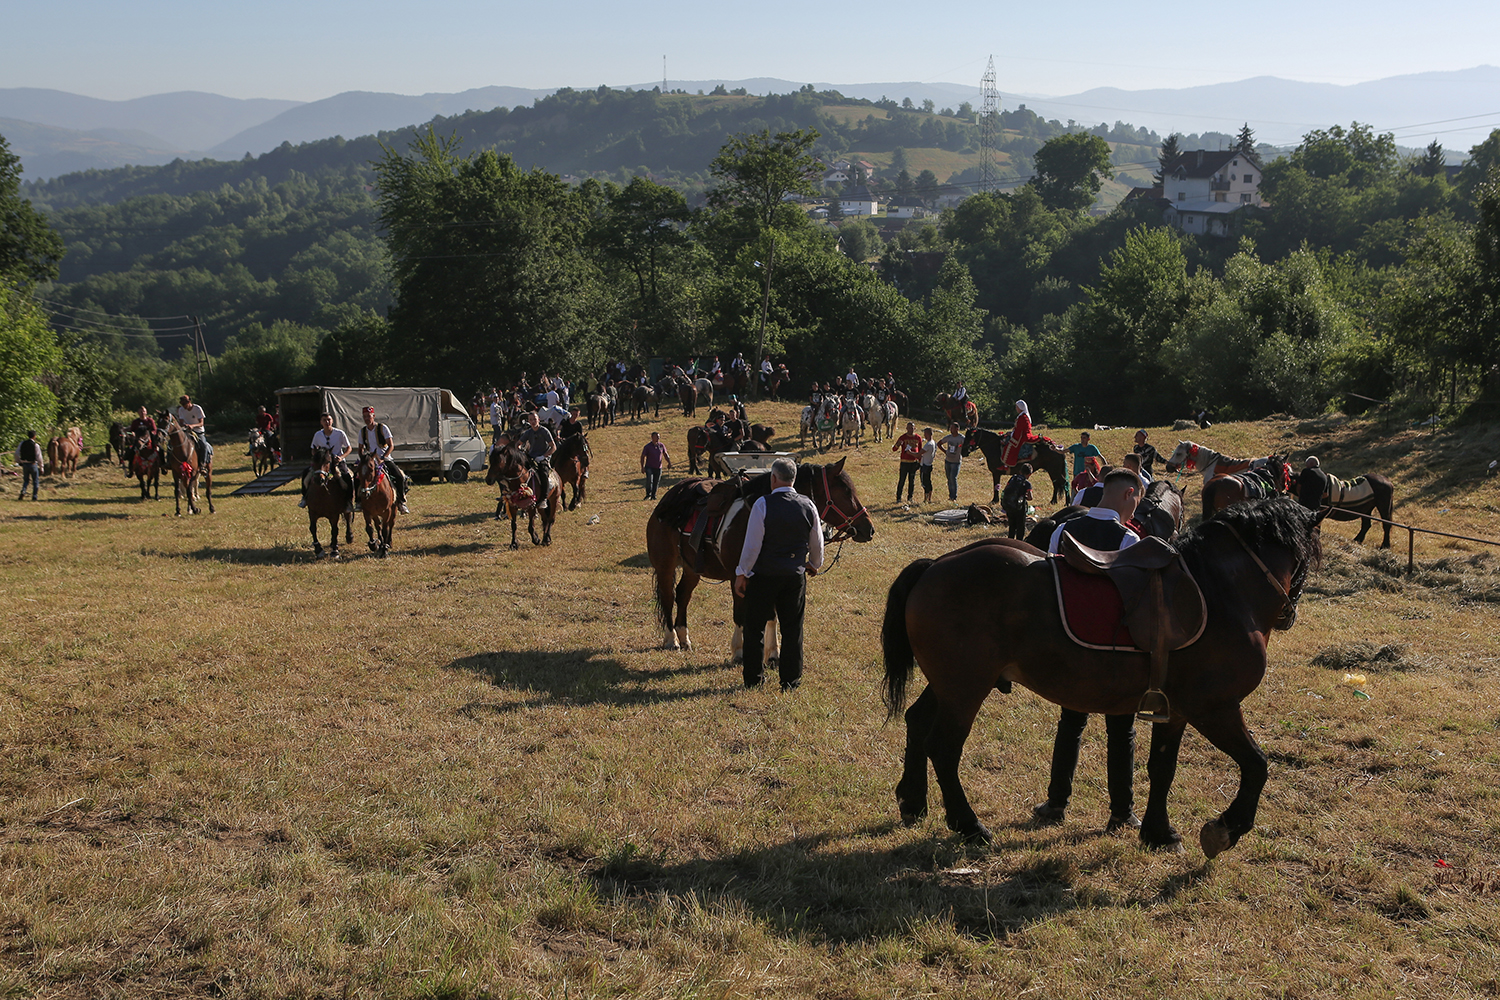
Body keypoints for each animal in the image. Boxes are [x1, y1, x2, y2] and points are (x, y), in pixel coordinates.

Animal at [648, 458, 876, 656]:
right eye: (845, 492)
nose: (869, 528)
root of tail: (665, 501)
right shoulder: (737, 577)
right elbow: (739, 613)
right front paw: (739, 651)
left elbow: (772, 617)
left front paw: (773, 652)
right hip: (665, 566)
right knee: (668, 596)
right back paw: (672, 639)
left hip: (691, 568)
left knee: (682, 595)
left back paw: (684, 637)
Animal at [876, 500, 1326, 863]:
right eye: (1307, 559)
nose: (1288, 613)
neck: (1218, 592)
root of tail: (936, 565)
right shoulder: (1215, 708)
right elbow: (1257, 765)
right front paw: (1225, 829)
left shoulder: (1176, 711)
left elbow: (1162, 768)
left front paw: (1158, 833)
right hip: (965, 688)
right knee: (943, 747)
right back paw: (969, 825)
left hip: (951, 684)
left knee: (916, 722)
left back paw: (912, 800)